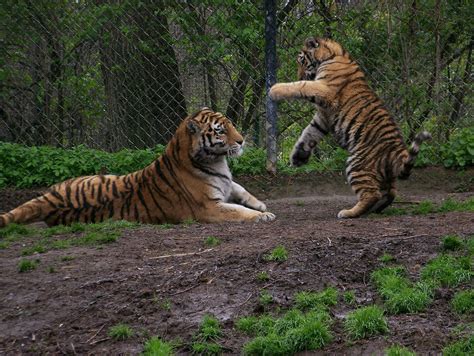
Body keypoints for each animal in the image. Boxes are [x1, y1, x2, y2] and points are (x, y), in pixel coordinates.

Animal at [0, 107, 274, 227]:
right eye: (220, 131)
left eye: (230, 124)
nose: (241, 140)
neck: (216, 160)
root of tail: (49, 199)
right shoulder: (209, 207)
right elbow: (238, 211)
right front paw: (263, 215)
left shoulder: (227, 183)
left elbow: (240, 189)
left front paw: (260, 204)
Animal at [270, 37, 430, 218]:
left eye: (302, 62)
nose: (299, 74)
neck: (333, 54)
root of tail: (398, 152)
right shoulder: (323, 117)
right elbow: (309, 133)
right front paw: (298, 157)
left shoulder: (325, 90)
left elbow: (302, 85)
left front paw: (274, 89)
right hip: (381, 176)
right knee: (389, 194)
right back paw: (372, 210)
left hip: (357, 164)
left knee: (372, 194)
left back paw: (348, 213)